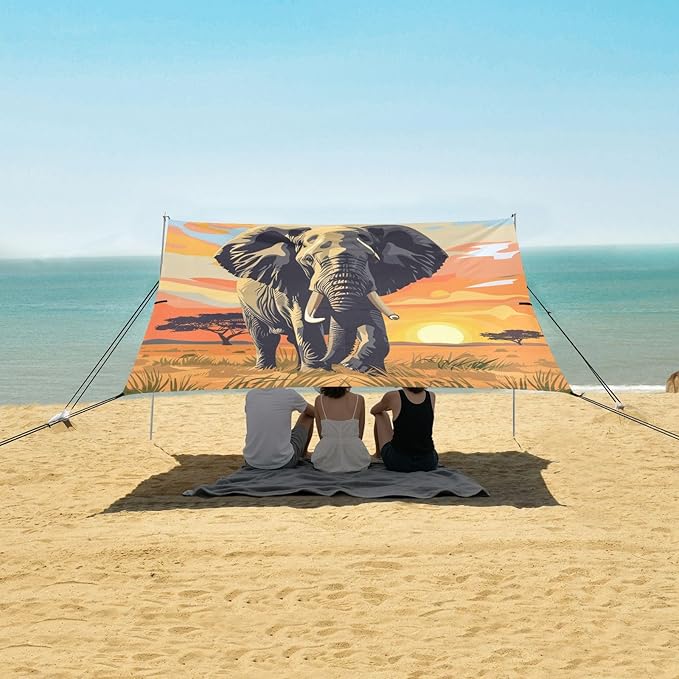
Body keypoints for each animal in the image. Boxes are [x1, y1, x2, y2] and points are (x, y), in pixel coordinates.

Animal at [214, 224, 448, 373]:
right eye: (308, 260)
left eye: (373, 260)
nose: (341, 363)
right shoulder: (294, 285)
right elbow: (306, 325)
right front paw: (319, 372)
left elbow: (372, 322)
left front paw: (367, 369)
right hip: (248, 305)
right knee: (264, 337)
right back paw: (268, 370)